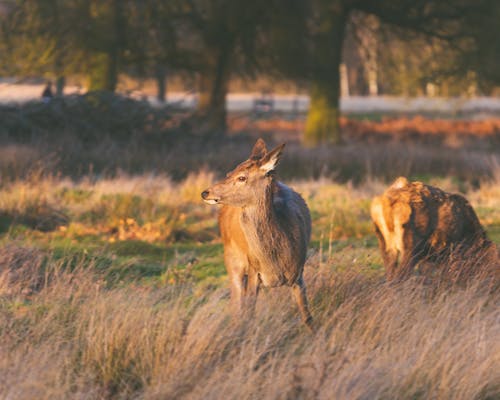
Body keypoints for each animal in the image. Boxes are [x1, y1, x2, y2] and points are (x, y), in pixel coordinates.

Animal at [200, 139, 312, 330]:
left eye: (242, 177)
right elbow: (248, 315)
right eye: (229, 173)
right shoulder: (254, 271)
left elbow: (307, 318)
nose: (205, 192)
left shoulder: (298, 274)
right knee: (236, 305)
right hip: (231, 258)